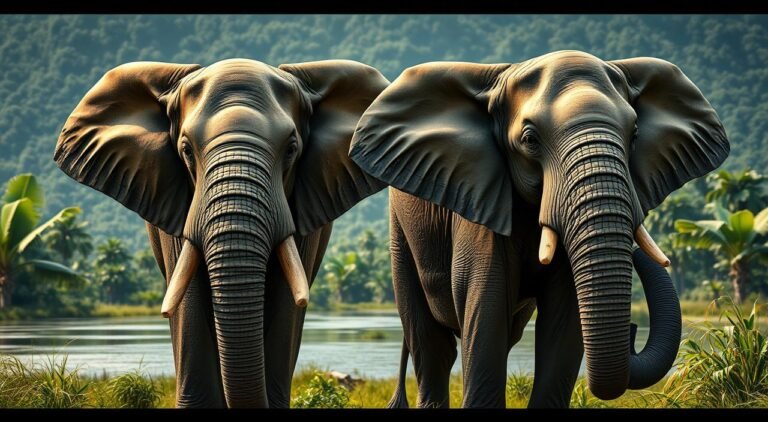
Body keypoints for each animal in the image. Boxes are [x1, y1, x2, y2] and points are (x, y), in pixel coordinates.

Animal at [349, 50, 729, 407]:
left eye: (634, 134)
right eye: (530, 139)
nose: (635, 328)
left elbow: (563, 317)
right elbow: (486, 304)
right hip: (400, 232)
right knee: (433, 344)